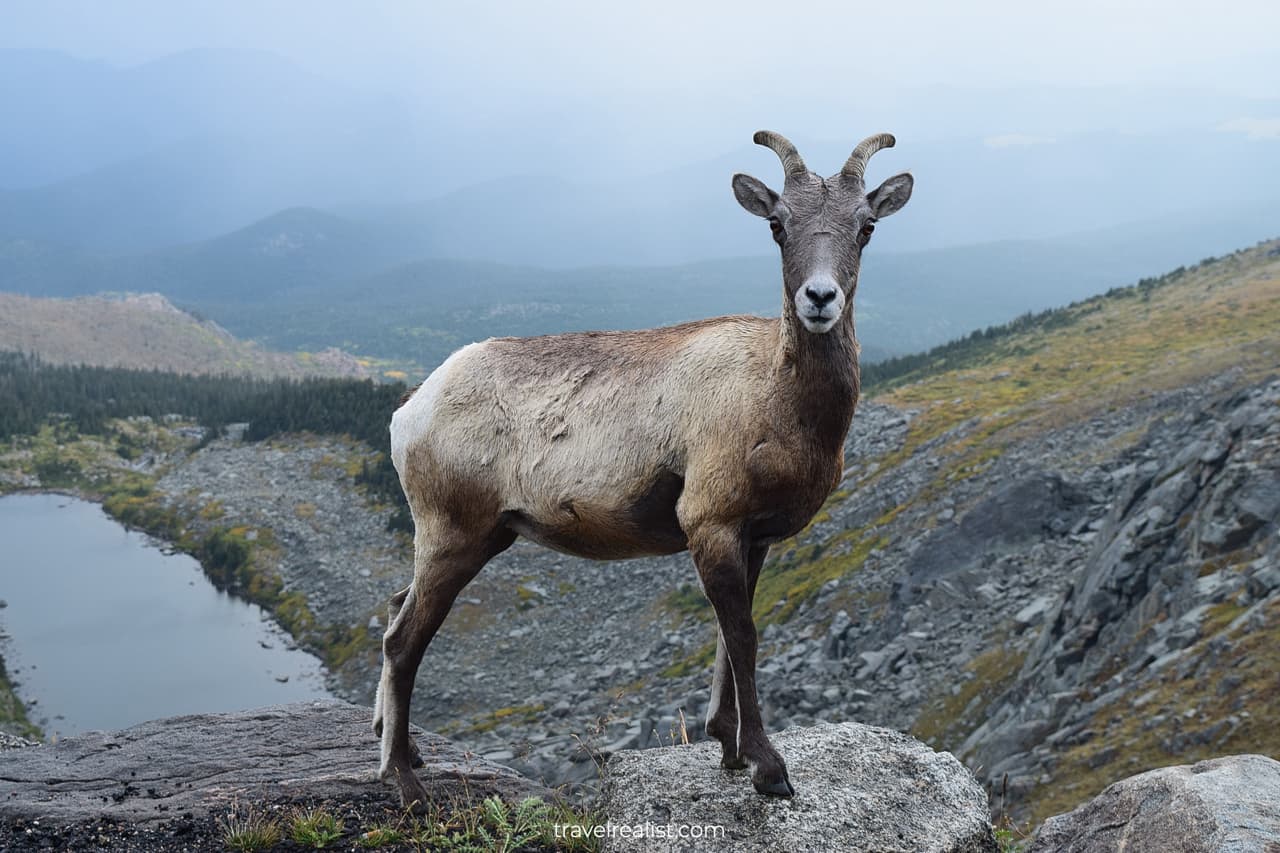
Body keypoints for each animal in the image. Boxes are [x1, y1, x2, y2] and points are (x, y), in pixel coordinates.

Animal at [373, 131, 916, 804]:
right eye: (777, 225)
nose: (819, 299)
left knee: (395, 608)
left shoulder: (753, 539)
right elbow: (742, 637)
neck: (775, 401)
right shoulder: (710, 526)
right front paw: (768, 770)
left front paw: (730, 749)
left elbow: (728, 638)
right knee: (401, 641)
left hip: (469, 541)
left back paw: (406, 750)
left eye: (866, 227)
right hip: (455, 537)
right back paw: (403, 778)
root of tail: (411, 410)